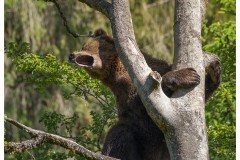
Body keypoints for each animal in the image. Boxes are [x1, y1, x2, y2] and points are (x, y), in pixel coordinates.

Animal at [68, 28, 220, 159]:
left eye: (84, 46)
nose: (71, 55)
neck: (117, 66)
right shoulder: (125, 88)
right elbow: (144, 105)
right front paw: (185, 75)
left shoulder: (155, 64)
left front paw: (214, 73)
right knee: (120, 133)